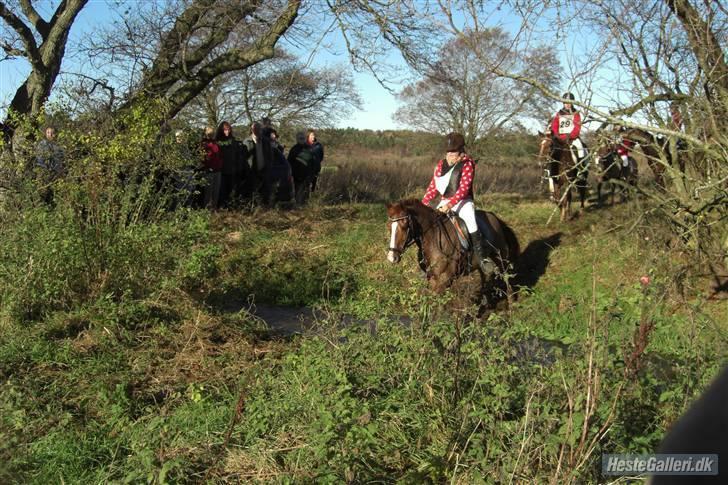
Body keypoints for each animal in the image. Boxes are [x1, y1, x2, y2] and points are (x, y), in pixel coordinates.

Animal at [386, 199, 516, 304]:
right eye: (389, 226)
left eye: (404, 224)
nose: (392, 257)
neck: (433, 238)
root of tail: (494, 217)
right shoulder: (432, 278)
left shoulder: (444, 279)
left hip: (501, 257)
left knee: (506, 276)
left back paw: (511, 301)